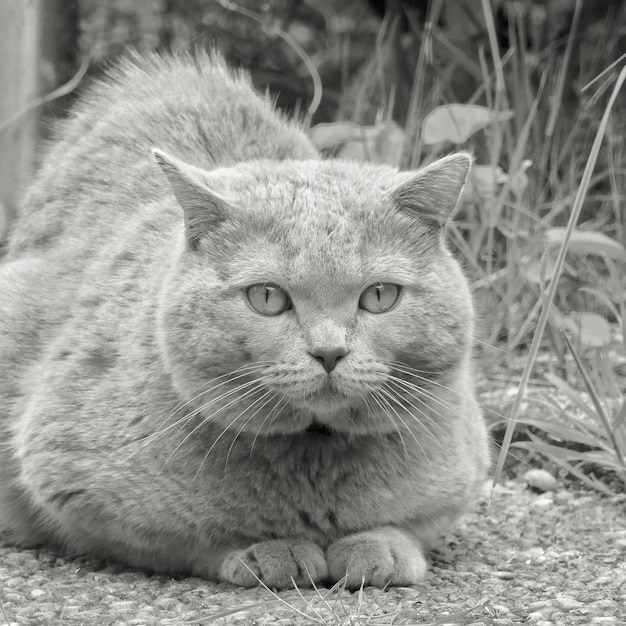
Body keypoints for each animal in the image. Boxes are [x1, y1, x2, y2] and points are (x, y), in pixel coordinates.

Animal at [0, 51, 488, 588]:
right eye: (267, 298)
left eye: (379, 296)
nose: (329, 352)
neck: (313, 457)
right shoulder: (71, 484)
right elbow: (183, 538)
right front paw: (271, 550)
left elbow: (412, 525)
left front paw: (379, 547)